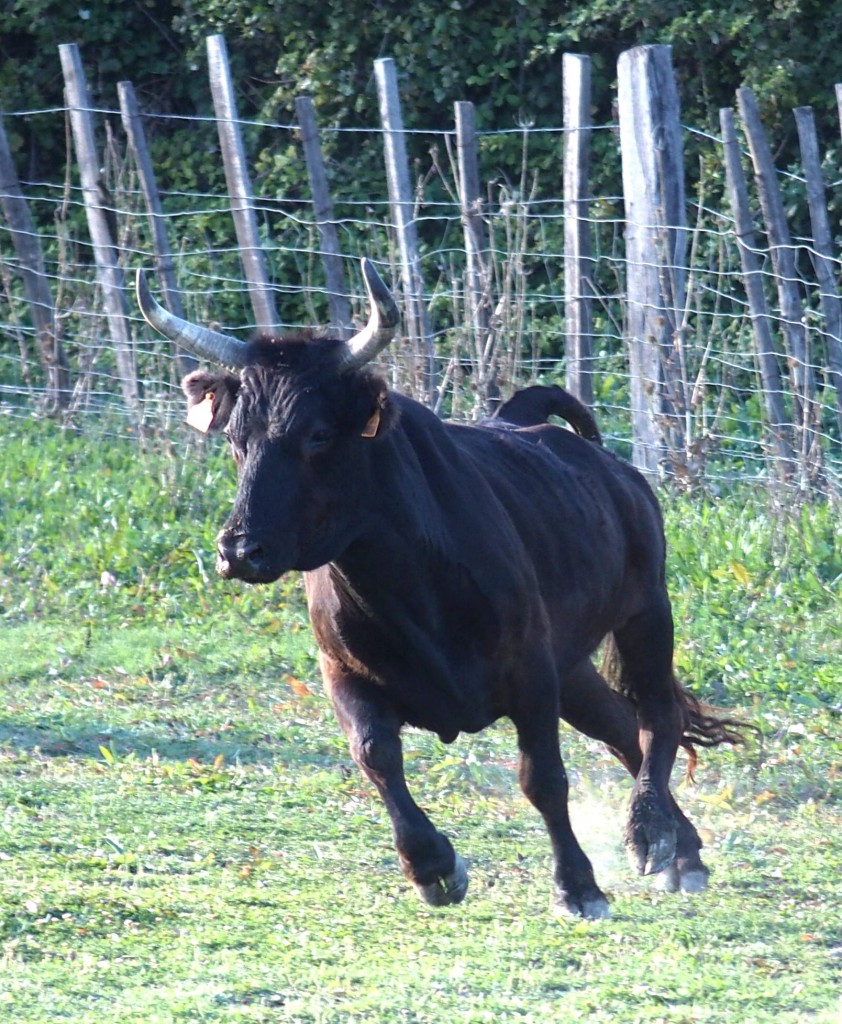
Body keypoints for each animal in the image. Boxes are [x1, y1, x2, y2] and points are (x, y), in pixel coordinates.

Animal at [137, 260, 737, 917]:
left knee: (656, 714)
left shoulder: (529, 670)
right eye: (235, 436)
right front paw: (432, 866)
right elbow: (375, 757)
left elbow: (543, 778)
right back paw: (682, 846)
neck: (407, 587)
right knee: (620, 726)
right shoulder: (343, 673)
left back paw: (653, 833)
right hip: (572, 660)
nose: (241, 550)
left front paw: (577, 885)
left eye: (317, 434)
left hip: (646, 611)